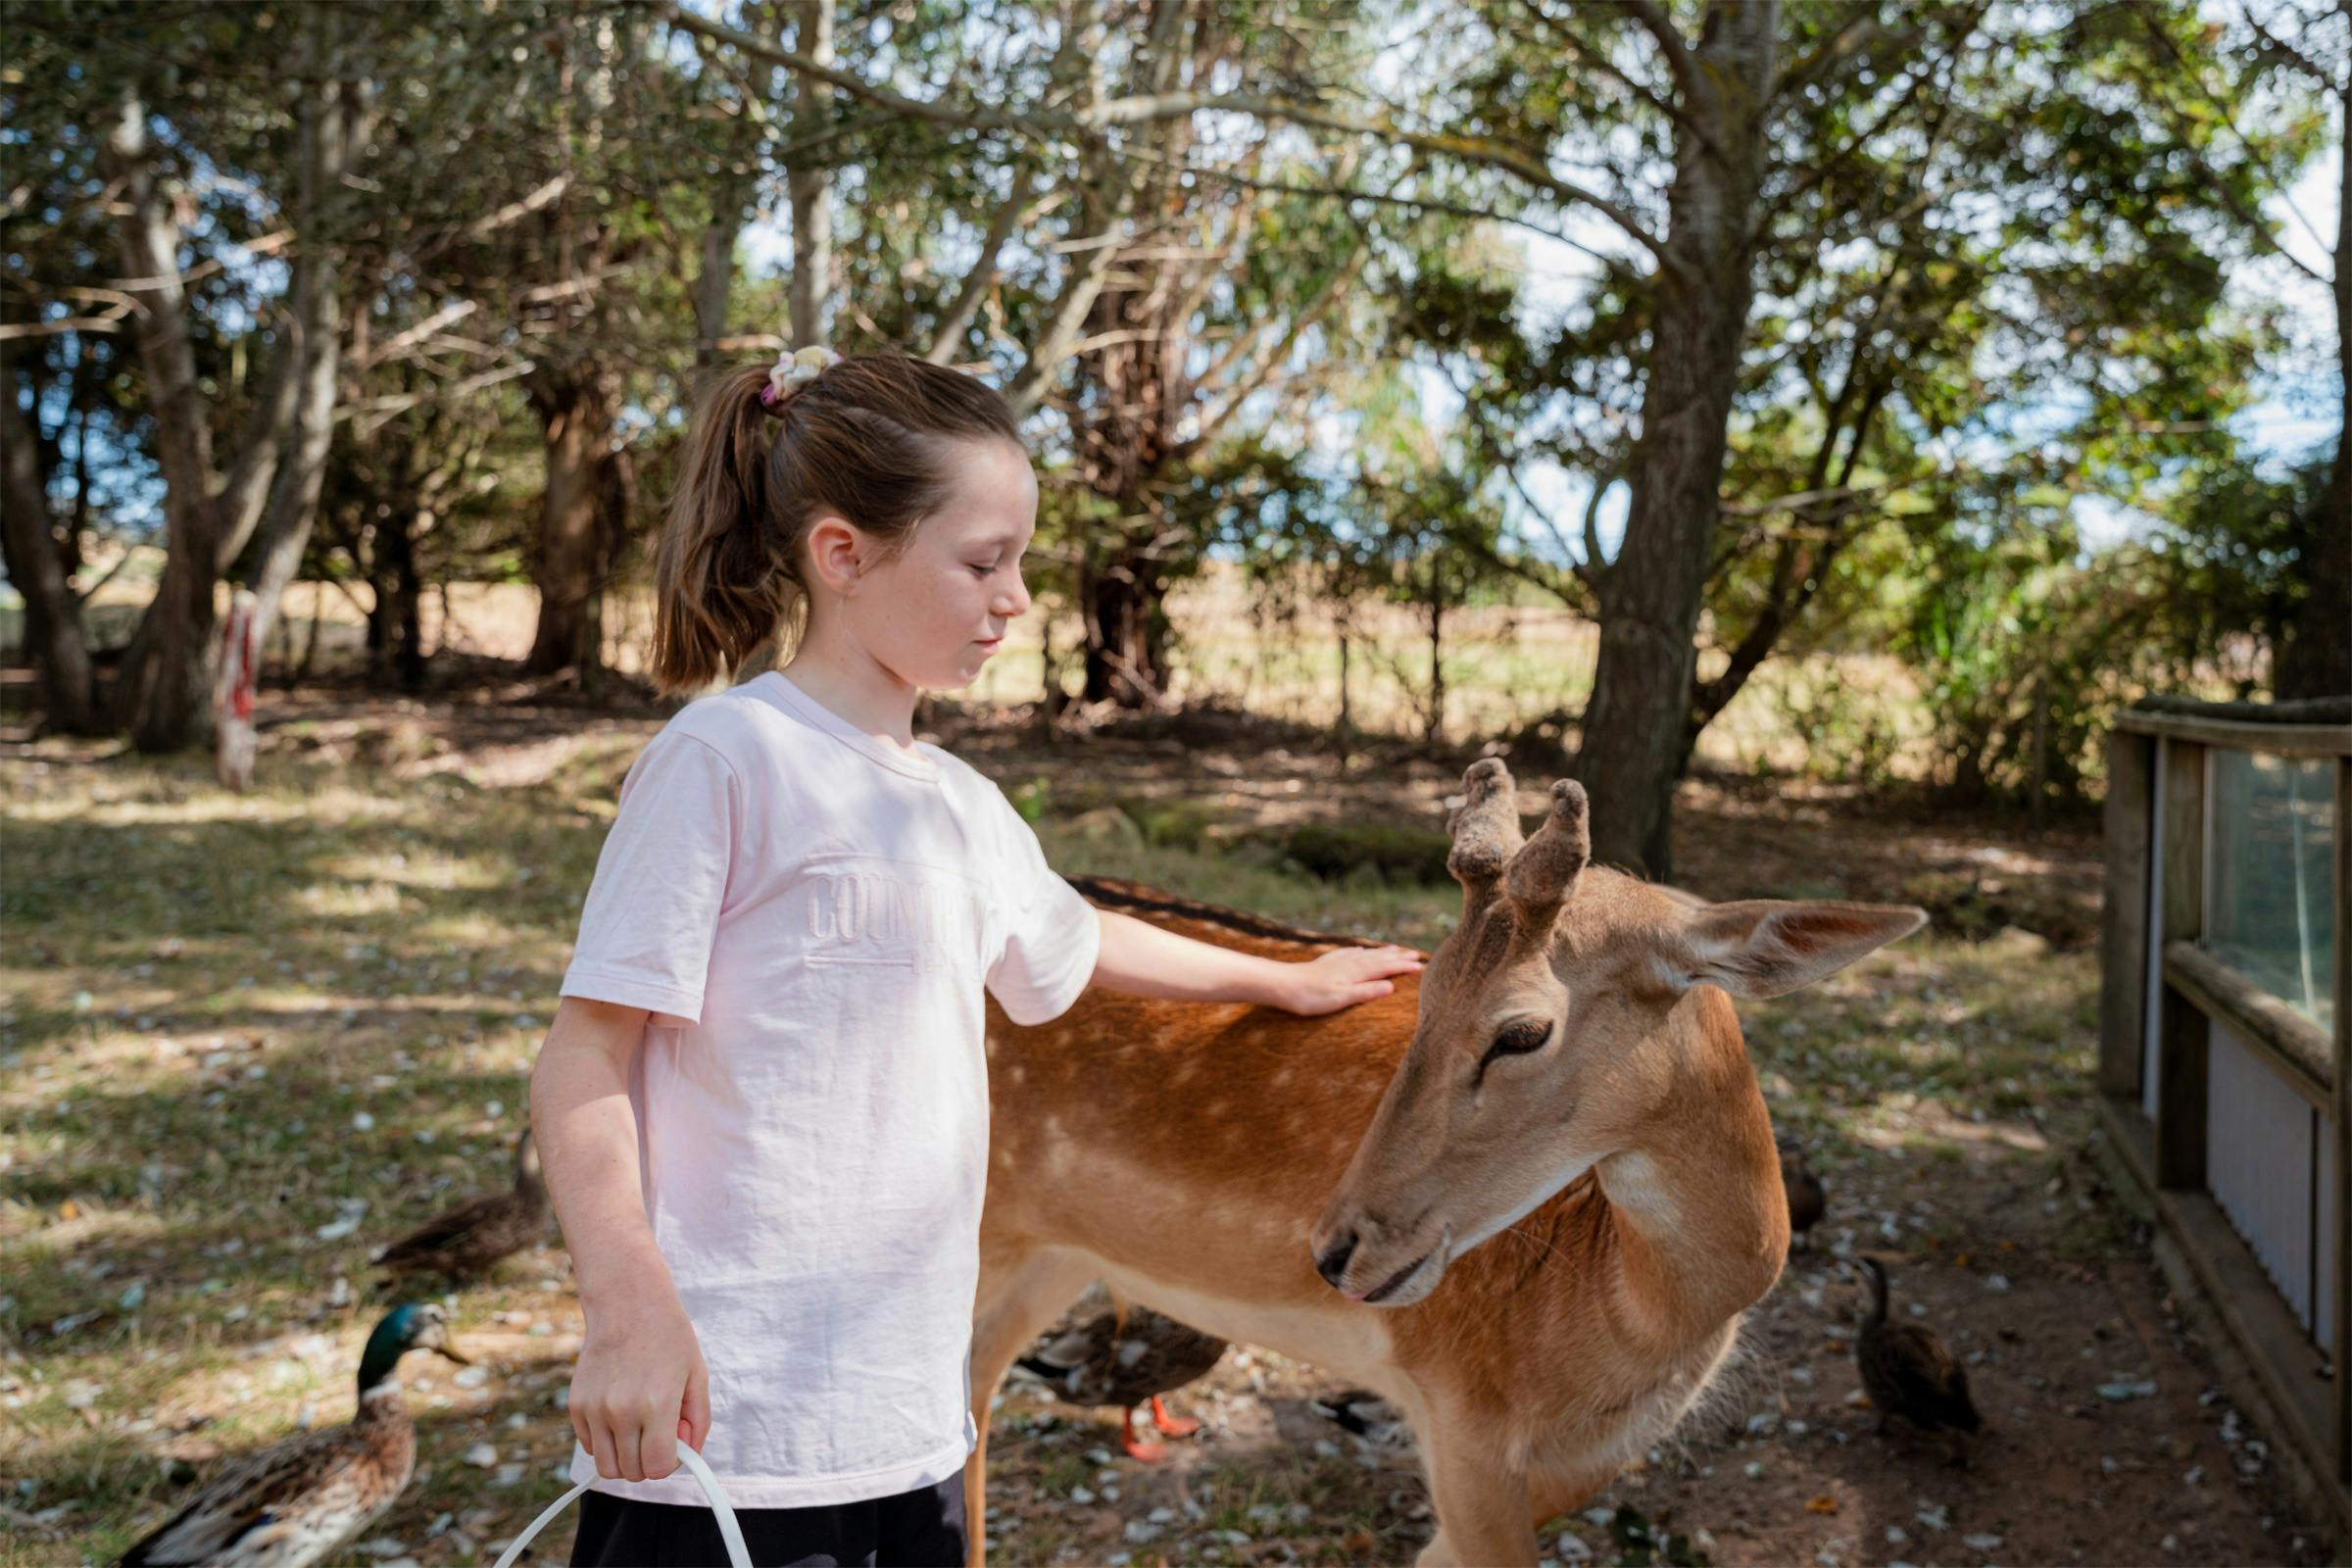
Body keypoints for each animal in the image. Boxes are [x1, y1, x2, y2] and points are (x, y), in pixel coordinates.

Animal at [968, 758, 1925, 1566]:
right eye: (1423, 987)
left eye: (1523, 1031)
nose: (1336, 1253)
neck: (1627, 1326)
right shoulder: (1464, 1414)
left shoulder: (1586, 1459)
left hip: (1053, 1258)